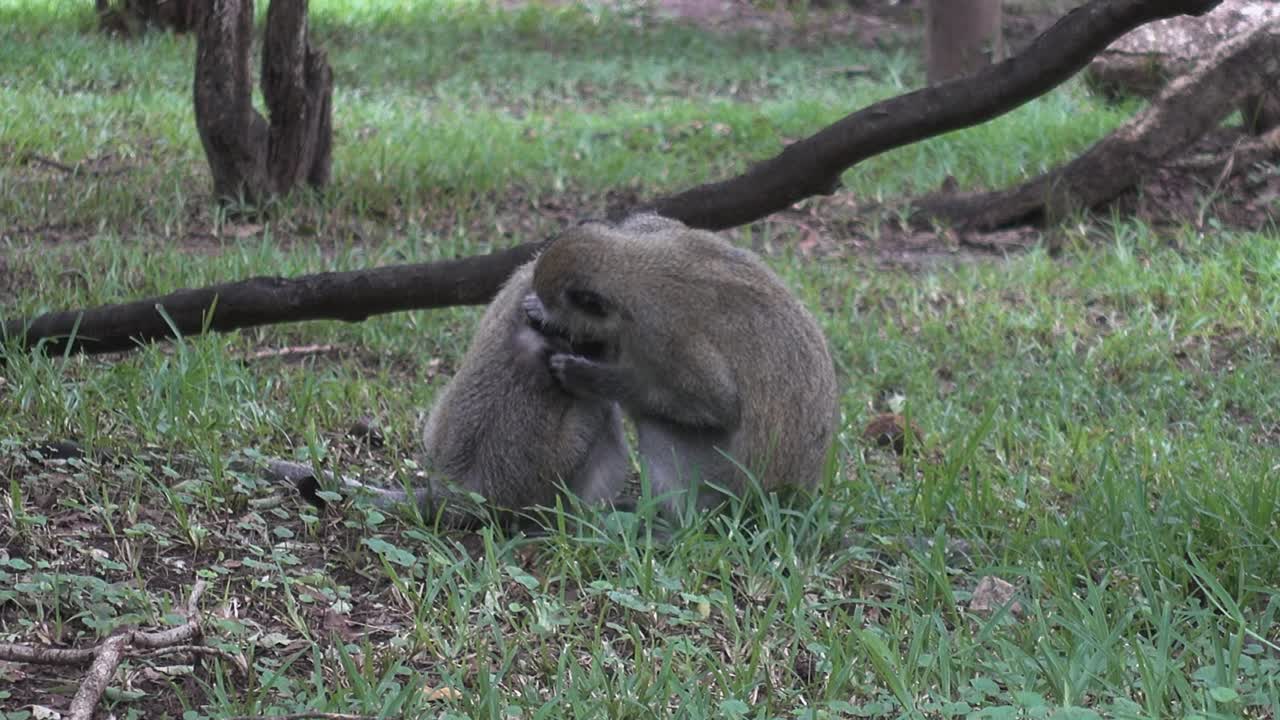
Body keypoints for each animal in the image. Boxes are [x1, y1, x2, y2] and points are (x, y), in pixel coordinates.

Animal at [523, 213, 839, 520]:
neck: (631, 268)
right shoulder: (649, 229)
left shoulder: (661, 333)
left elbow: (719, 404)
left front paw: (587, 377)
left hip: (720, 486)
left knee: (655, 424)